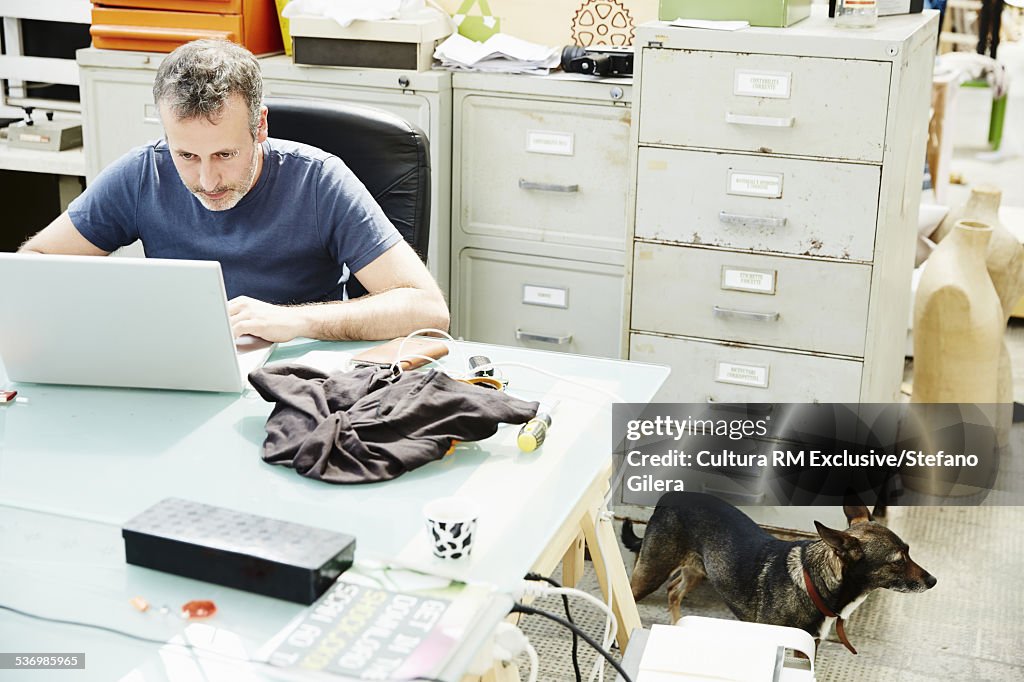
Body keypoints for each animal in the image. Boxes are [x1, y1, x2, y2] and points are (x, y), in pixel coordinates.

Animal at [622, 491, 937, 647]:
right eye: (897, 560)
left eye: (909, 551)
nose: (933, 580)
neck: (814, 584)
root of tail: (667, 498)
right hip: (651, 572)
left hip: (700, 569)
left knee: (674, 591)